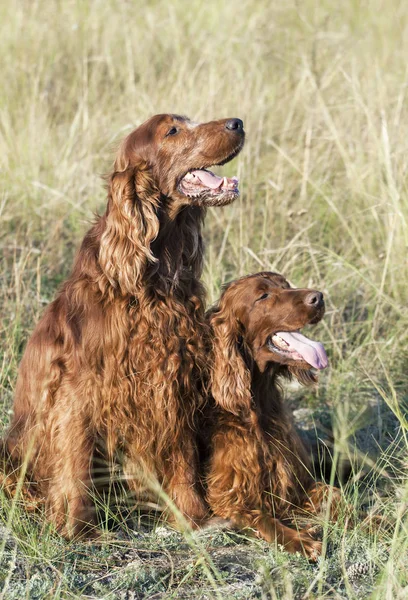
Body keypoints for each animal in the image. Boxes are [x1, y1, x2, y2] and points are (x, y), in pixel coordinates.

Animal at [3, 113, 244, 540]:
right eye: (173, 131)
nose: (238, 123)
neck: (150, 278)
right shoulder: (78, 391)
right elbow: (75, 461)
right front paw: (77, 528)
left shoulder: (172, 376)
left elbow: (182, 456)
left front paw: (194, 517)